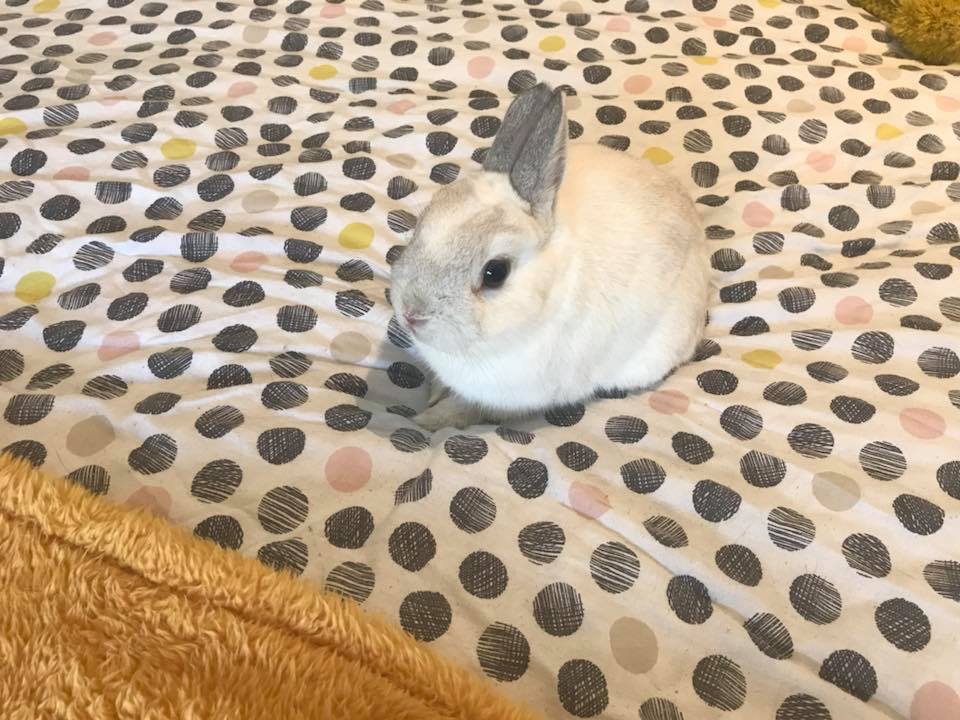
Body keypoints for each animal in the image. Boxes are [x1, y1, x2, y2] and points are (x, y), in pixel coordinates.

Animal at [390, 82, 710, 431]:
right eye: (422, 223)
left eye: (495, 273)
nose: (411, 313)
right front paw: (433, 396)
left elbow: (473, 410)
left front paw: (428, 420)